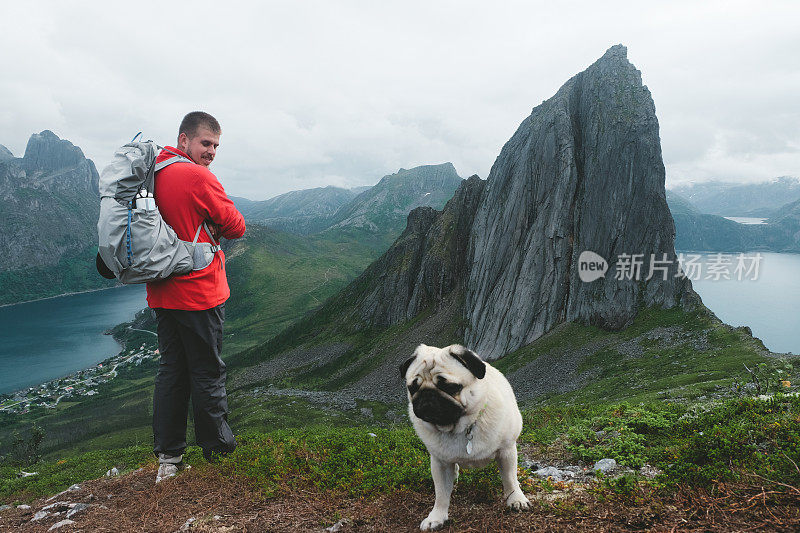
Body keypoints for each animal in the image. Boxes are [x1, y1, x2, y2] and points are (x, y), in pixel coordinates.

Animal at [404, 342, 528, 528]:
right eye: (413, 388)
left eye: (450, 387)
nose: (427, 395)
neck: (461, 427)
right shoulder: (440, 463)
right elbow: (441, 494)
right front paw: (436, 517)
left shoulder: (506, 451)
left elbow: (509, 479)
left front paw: (516, 499)